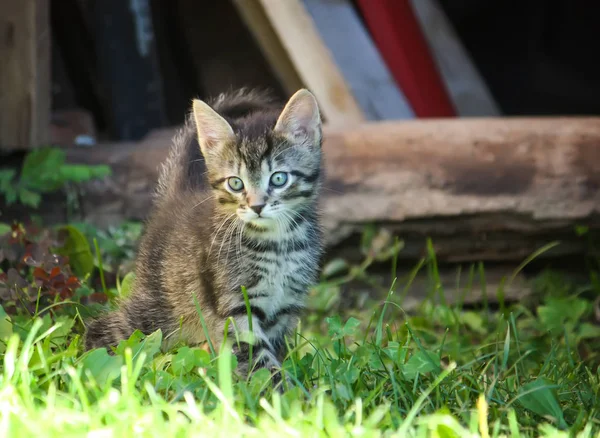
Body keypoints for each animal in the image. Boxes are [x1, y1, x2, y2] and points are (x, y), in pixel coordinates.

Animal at [84, 89, 324, 376]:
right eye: (236, 183)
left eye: (279, 178)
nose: (256, 206)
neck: (276, 242)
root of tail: (175, 199)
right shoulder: (234, 306)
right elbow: (261, 363)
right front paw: (284, 387)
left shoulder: (285, 306)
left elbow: (274, 353)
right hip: (153, 310)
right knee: (104, 331)